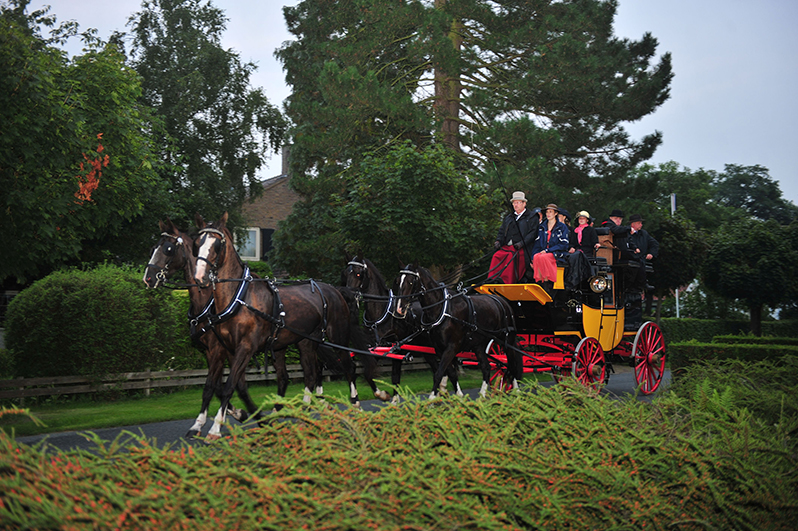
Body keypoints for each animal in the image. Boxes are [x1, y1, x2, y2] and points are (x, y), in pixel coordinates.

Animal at [141, 218, 260, 438]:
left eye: (168, 249)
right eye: (154, 248)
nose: (149, 277)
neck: (206, 302)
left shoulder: (218, 350)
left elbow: (214, 385)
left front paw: (209, 422)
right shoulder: (212, 351)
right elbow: (218, 386)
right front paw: (236, 413)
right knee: (240, 384)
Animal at [192, 212, 360, 440]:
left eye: (218, 244)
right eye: (197, 243)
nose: (199, 277)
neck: (239, 298)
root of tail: (335, 290)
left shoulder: (245, 347)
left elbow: (229, 386)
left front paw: (216, 428)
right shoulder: (222, 348)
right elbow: (212, 385)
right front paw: (200, 424)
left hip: (338, 337)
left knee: (348, 367)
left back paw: (355, 405)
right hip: (306, 342)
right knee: (311, 373)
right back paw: (302, 412)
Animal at [342, 258, 462, 404]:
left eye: (358, 274)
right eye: (346, 274)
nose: (348, 297)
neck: (382, 314)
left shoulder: (397, 349)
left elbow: (395, 376)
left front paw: (393, 399)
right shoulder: (376, 348)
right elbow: (368, 373)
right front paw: (383, 395)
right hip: (427, 348)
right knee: (439, 368)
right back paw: (441, 392)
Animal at [396, 264, 520, 396]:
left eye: (410, 281)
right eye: (398, 281)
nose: (399, 308)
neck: (443, 309)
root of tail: (503, 301)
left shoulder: (452, 347)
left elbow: (439, 373)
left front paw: (432, 397)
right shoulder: (439, 349)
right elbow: (451, 373)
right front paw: (459, 396)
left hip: (507, 341)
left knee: (512, 365)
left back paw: (516, 391)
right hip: (479, 345)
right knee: (486, 367)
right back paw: (482, 396)